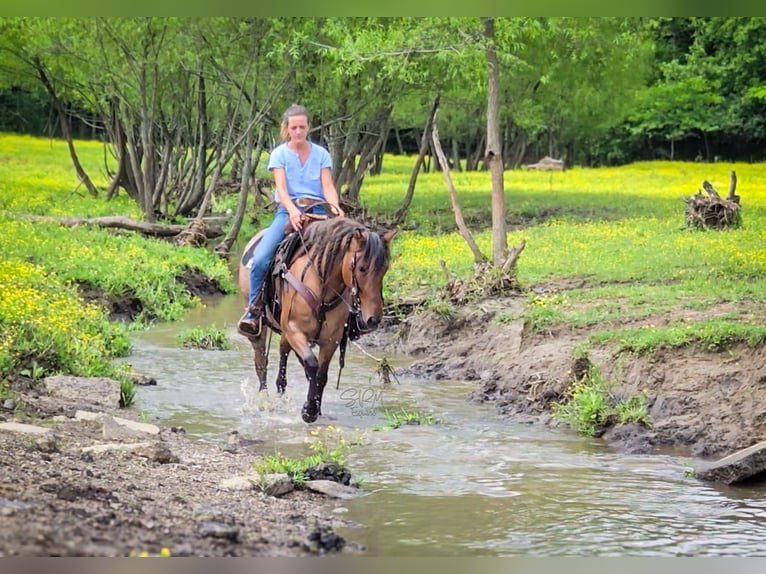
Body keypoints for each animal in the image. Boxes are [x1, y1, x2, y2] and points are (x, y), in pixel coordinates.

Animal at [237, 211, 397, 423]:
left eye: (385, 269)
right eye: (362, 268)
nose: (373, 319)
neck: (321, 285)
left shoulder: (331, 340)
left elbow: (321, 374)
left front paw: (315, 408)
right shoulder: (294, 329)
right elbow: (312, 365)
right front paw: (309, 411)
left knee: (283, 352)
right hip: (260, 327)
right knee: (261, 362)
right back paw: (265, 401)